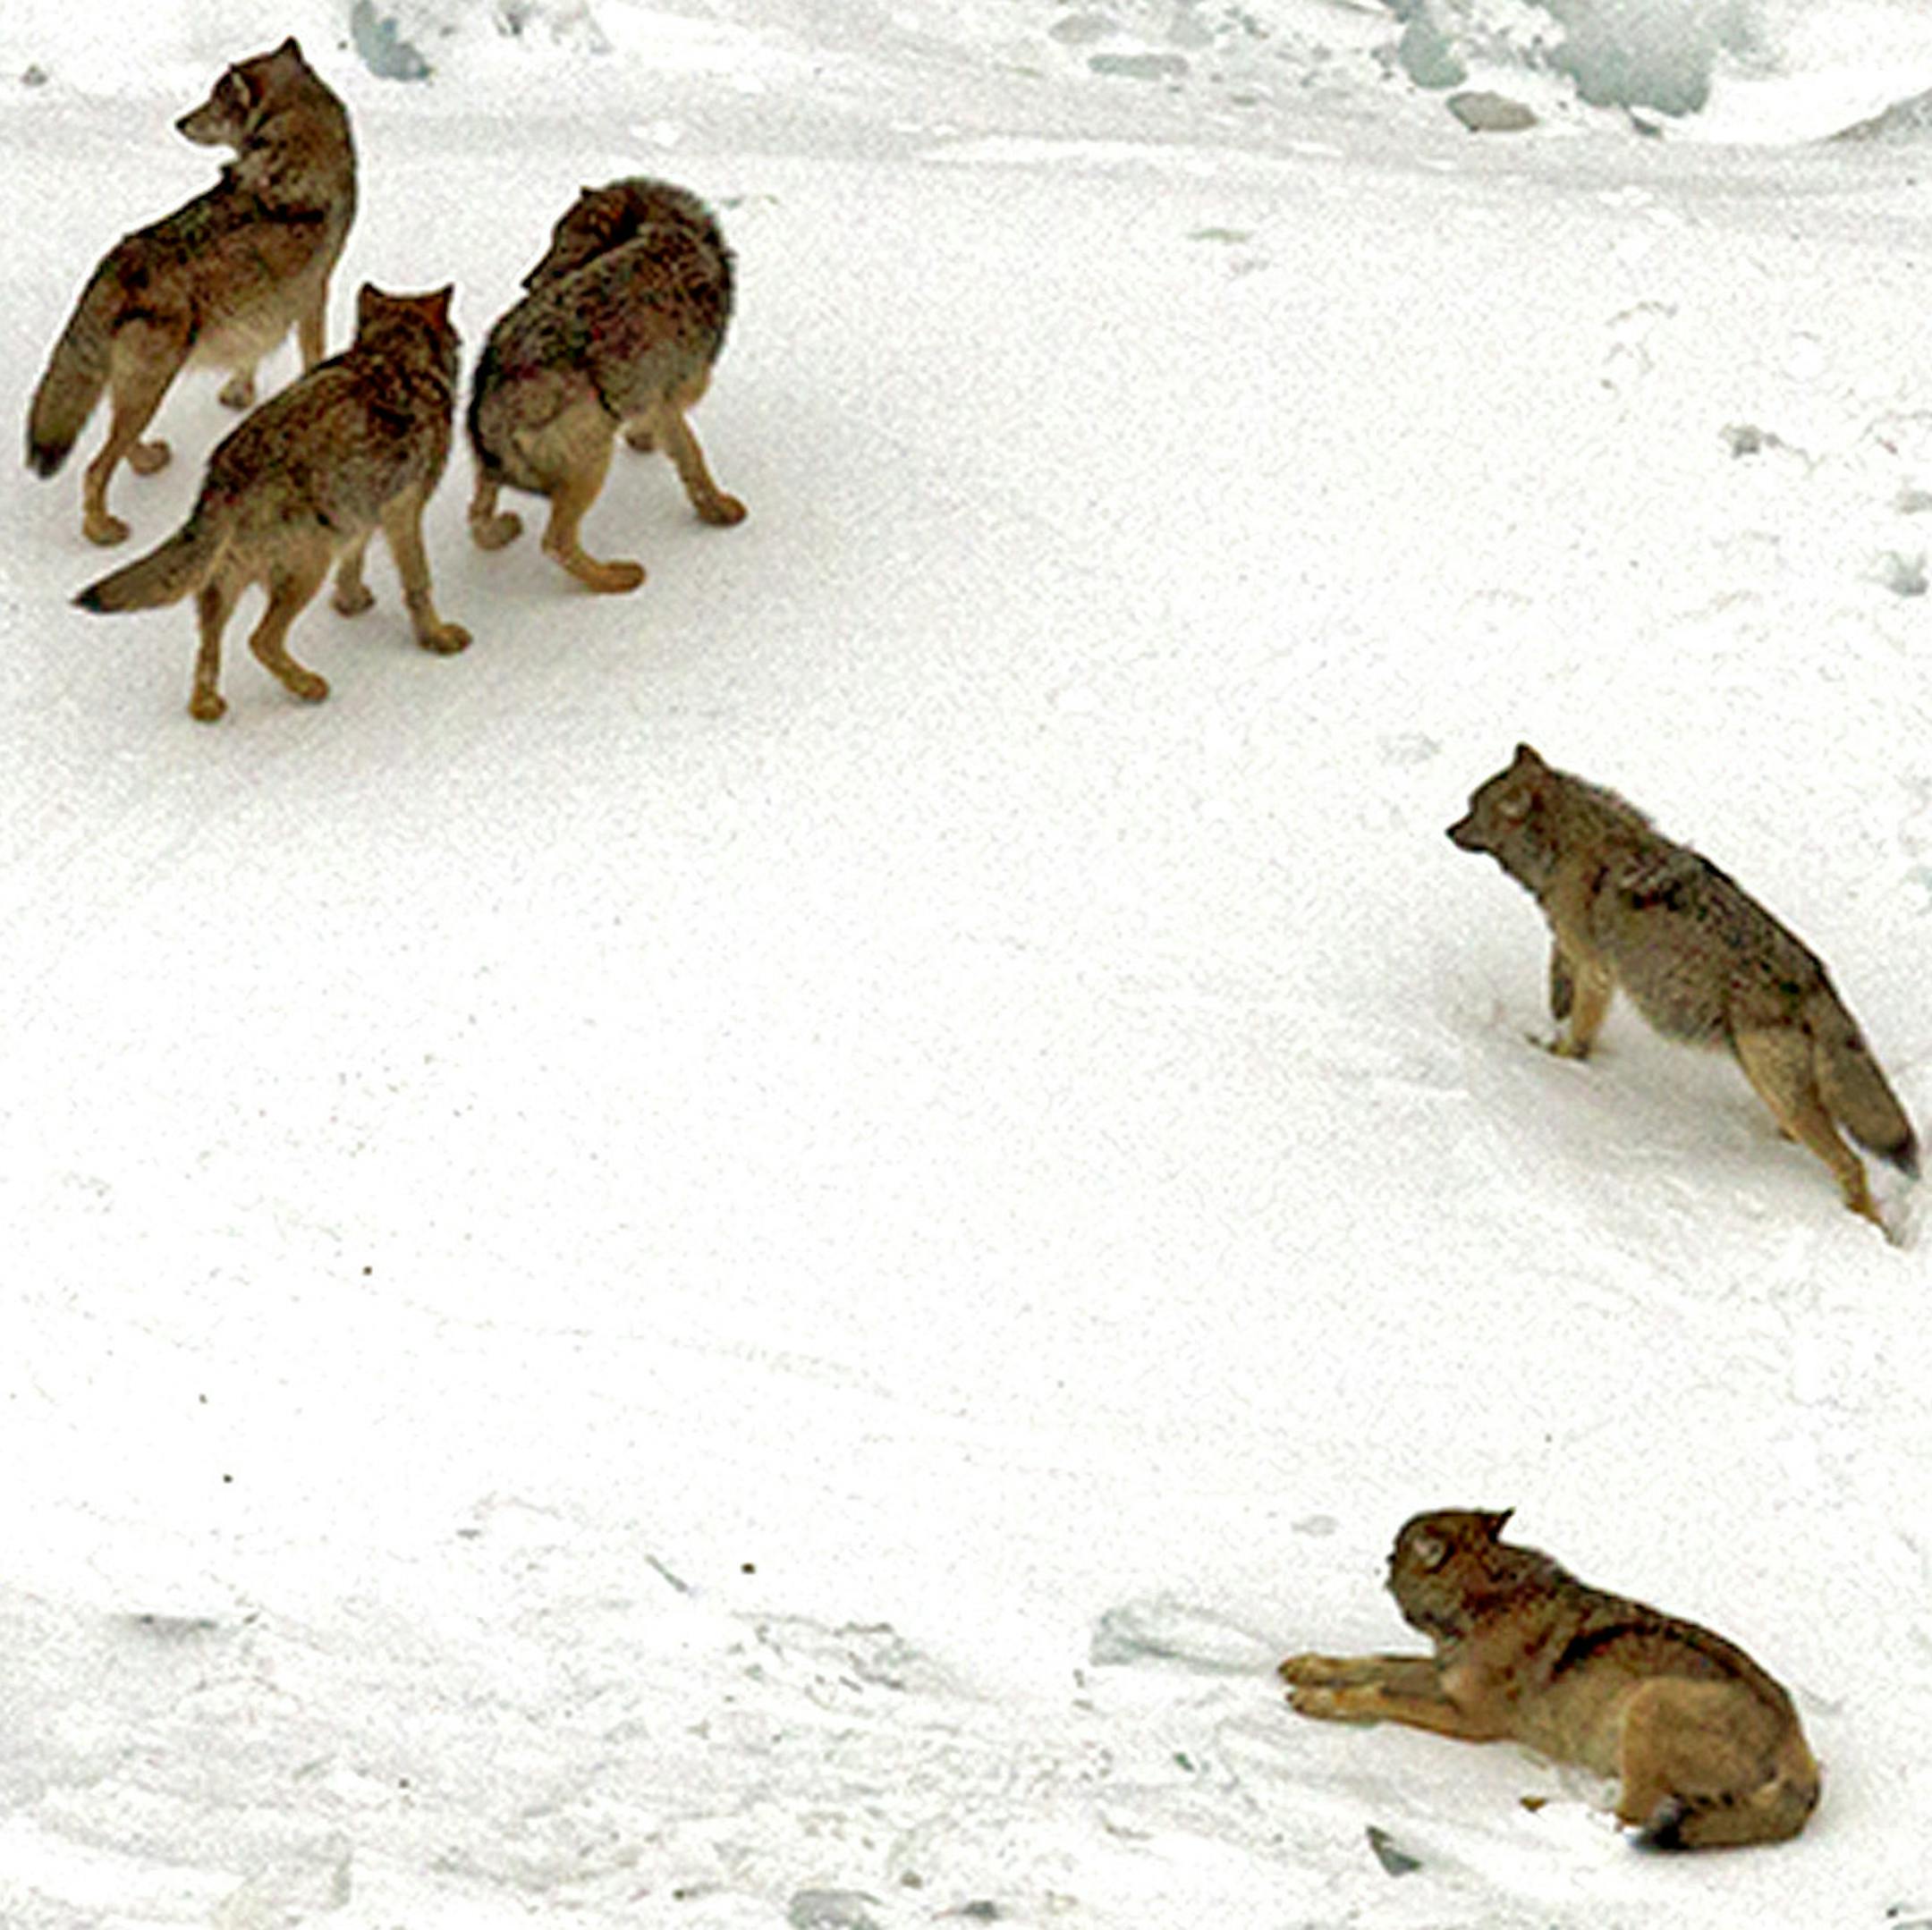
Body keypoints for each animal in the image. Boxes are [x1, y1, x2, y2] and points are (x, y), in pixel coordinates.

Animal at [26, 38, 357, 546]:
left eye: (213, 103)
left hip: (135, 389)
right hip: (151, 387)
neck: (293, 135)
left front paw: (239, 395)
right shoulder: (313, 291)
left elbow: (250, 351)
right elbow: (311, 354)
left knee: (116, 446)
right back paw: (104, 531)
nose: (179, 122)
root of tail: (114, 268)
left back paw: (148, 461)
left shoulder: (266, 302)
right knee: (95, 468)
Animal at [72, 285, 469, 722]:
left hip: (227, 584)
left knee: (210, 644)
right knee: (259, 640)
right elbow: (418, 585)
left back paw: (207, 706)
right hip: (307, 569)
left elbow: (354, 562)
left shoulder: (360, 514)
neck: (396, 354)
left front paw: (351, 603)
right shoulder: (403, 514)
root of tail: (226, 480)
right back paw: (309, 687)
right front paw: (437, 638)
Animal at [466, 176, 744, 593]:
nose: (527, 282)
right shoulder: (671, 392)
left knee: (477, 516)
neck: (673, 225)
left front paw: (643, 441)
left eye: (560, 243)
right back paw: (618, 579)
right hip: (593, 458)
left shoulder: (649, 394)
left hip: (516, 464)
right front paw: (719, 512)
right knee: (555, 544)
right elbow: (693, 461)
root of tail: (491, 382)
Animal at [1280, 1508, 1821, 1850]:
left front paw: (1319, 1701)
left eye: (1394, 1553)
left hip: (1649, 1703)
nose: (1383, 1564)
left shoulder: (1470, 1720)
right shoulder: (1444, 1678)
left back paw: (1545, 1811)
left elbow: (1379, 1691)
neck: (1486, 1601)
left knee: (1630, 1819)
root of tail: (1797, 1743)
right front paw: (1310, 1667)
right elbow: (1373, 1662)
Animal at [1447, 743, 1917, 1228]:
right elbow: (1558, 984)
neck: (1564, 844)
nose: (1447, 830)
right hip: (1779, 1090)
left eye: (1471, 809)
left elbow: (1578, 1032)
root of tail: (1814, 982)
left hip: (1777, 1088)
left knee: (1851, 1162)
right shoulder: (1571, 949)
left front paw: (1556, 1058)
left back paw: (1868, 1224)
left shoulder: (1597, 970)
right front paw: (1552, 1016)